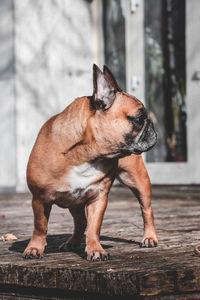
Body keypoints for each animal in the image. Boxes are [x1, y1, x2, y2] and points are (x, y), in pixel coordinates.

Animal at [23, 65, 158, 260]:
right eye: (139, 118)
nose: (151, 124)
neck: (85, 155)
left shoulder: (98, 198)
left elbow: (94, 226)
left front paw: (95, 249)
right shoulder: (39, 199)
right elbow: (40, 226)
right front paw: (34, 248)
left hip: (138, 181)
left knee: (147, 210)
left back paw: (149, 237)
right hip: (73, 201)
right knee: (80, 221)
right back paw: (72, 242)